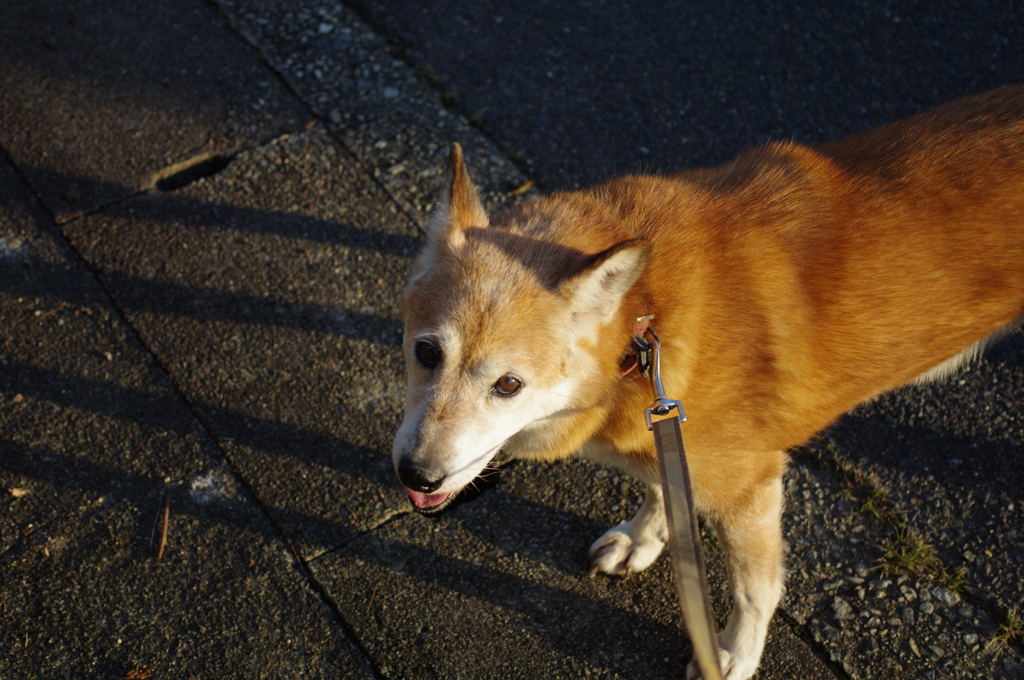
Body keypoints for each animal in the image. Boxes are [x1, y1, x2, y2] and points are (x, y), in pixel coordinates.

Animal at [389, 86, 1024, 680]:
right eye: (426, 352)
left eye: (509, 385)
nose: (416, 476)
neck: (642, 323)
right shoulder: (668, 430)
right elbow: (661, 491)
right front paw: (644, 539)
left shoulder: (752, 489)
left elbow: (756, 589)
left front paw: (735, 654)